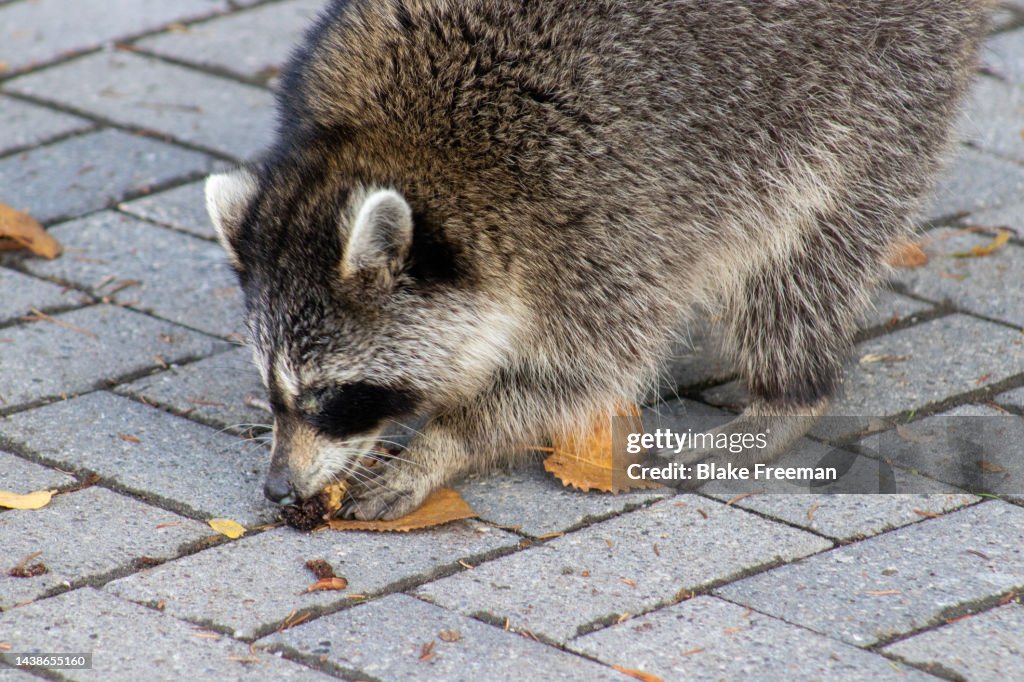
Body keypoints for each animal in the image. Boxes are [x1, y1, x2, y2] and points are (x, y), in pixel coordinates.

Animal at [206, 0, 992, 519]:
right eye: (274, 392)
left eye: (331, 395)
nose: (278, 487)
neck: (398, 142)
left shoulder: (604, 224)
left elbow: (576, 374)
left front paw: (444, 442)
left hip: (880, 88)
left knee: (812, 245)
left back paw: (787, 393)